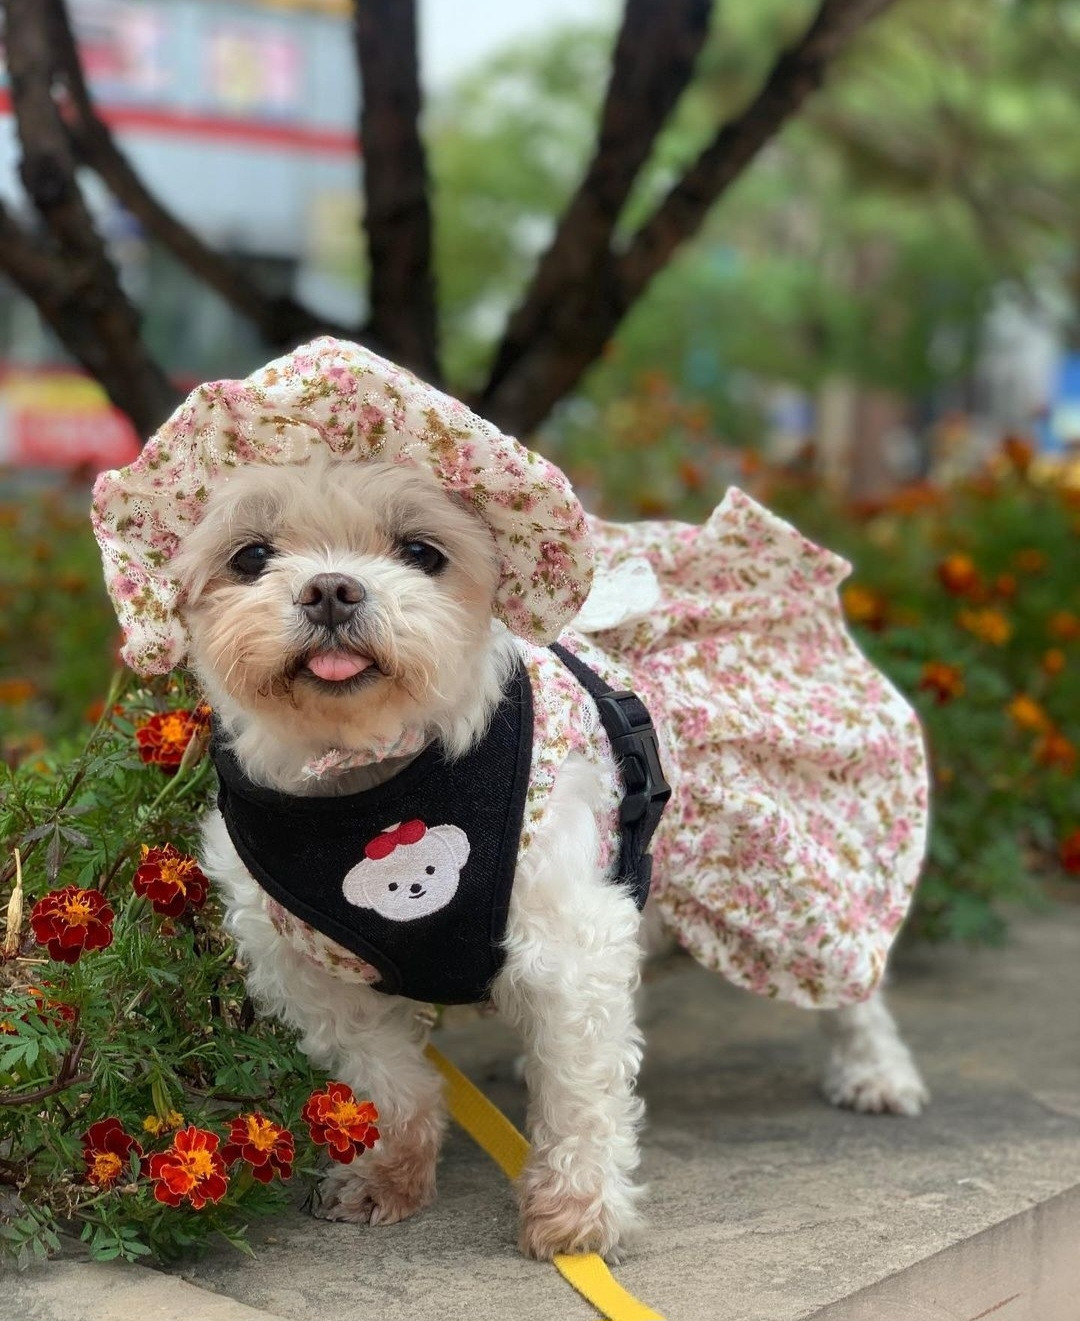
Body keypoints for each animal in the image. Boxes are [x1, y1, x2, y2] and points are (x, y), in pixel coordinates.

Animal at [94, 339, 929, 1262]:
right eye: (249, 556)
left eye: (422, 551)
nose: (331, 589)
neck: (373, 782)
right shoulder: (307, 964)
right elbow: (387, 1076)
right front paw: (389, 1172)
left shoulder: (567, 938)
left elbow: (582, 1092)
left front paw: (576, 1211)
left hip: (793, 868)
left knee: (848, 972)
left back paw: (876, 1068)